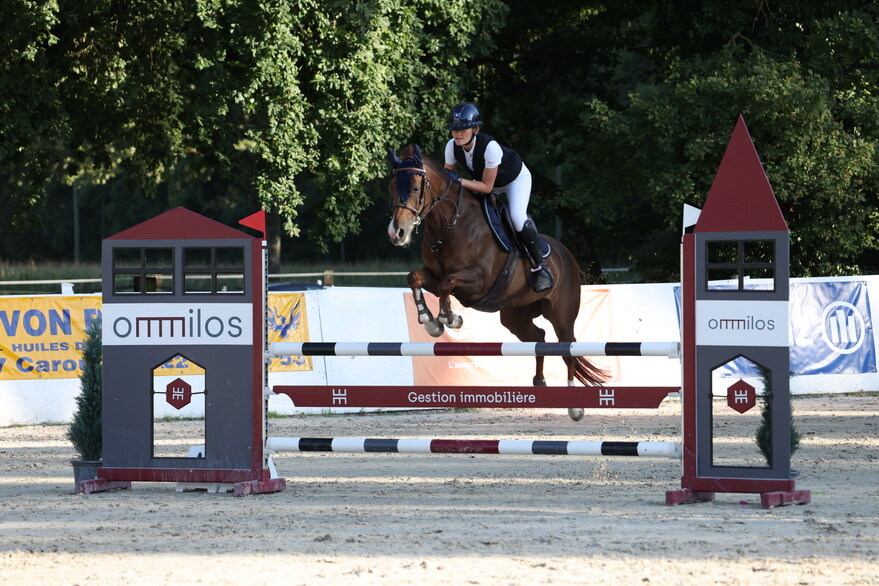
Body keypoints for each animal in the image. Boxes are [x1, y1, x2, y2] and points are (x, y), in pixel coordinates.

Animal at [386, 144, 607, 421]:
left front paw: (449, 318)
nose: (397, 233)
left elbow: (448, 283)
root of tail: (566, 255)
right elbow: (415, 277)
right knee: (539, 337)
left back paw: (575, 407)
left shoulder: (479, 281)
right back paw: (539, 382)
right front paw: (429, 320)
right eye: (391, 188)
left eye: (416, 188)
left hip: (562, 315)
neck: (449, 225)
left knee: (568, 349)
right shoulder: (433, 276)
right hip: (516, 316)